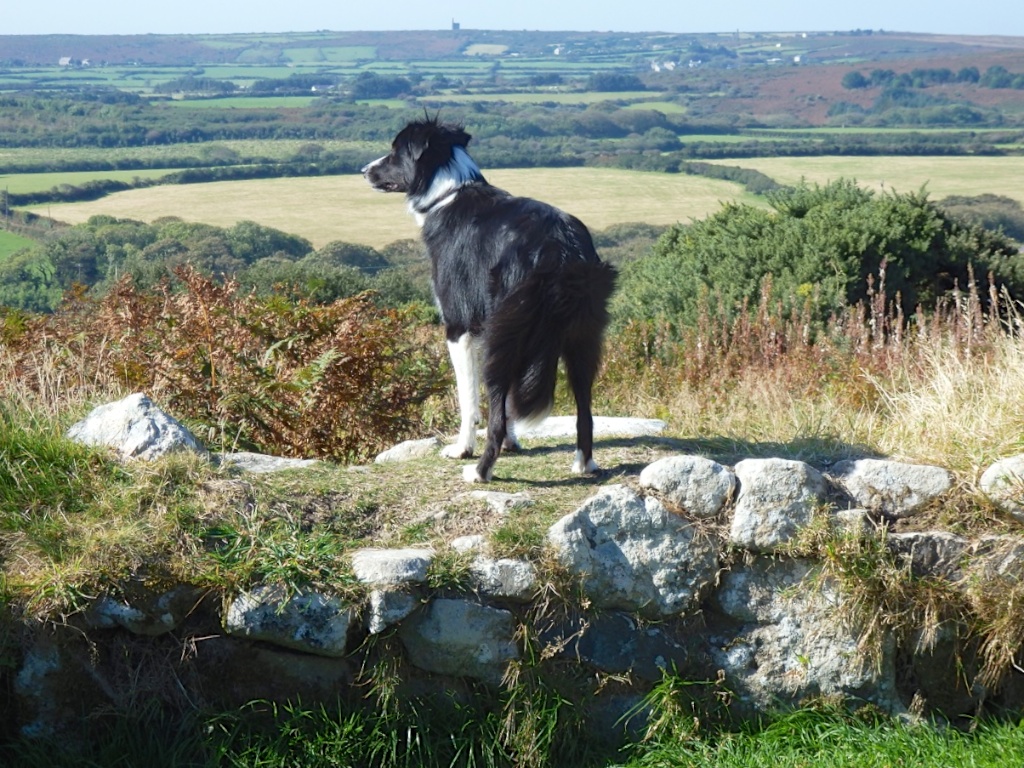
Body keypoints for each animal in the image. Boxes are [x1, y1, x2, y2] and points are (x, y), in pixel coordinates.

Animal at [362, 118, 614, 483]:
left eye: (395, 152)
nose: (364, 170)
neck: (446, 192)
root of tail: (560, 247)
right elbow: (508, 406)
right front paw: (513, 443)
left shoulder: (458, 327)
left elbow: (469, 399)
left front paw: (461, 448)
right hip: (583, 336)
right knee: (585, 409)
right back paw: (585, 463)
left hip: (504, 335)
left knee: (494, 406)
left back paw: (480, 471)